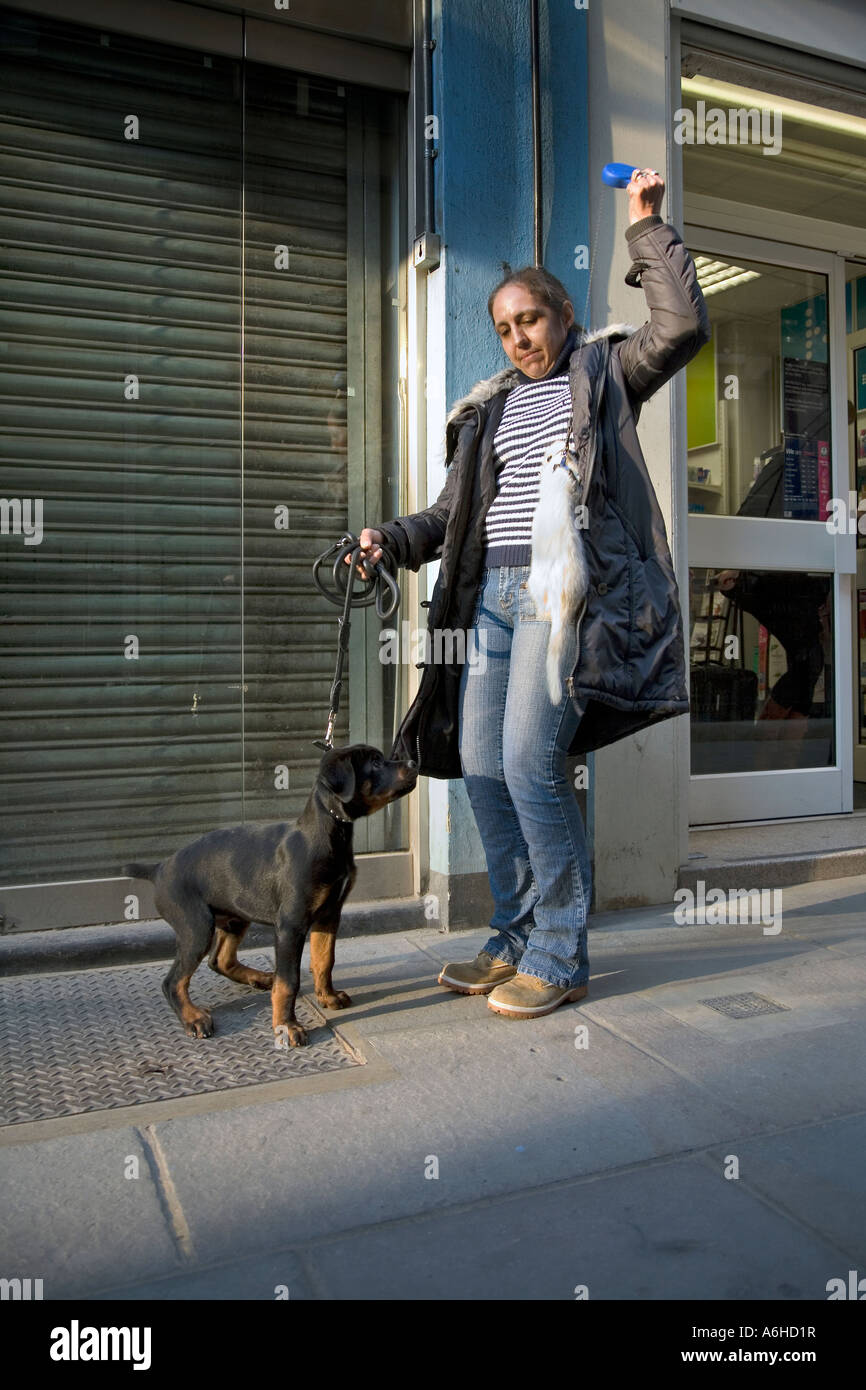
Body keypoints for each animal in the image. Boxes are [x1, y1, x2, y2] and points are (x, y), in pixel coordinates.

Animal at [124, 745, 417, 1045]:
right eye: (376, 763)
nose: (413, 763)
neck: (327, 834)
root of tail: (159, 868)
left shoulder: (329, 914)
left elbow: (324, 960)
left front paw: (327, 996)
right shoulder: (291, 924)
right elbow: (289, 981)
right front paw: (287, 1026)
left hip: (235, 917)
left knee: (219, 960)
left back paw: (261, 978)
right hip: (196, 926)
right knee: (173, 981)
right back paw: (194, 1018)